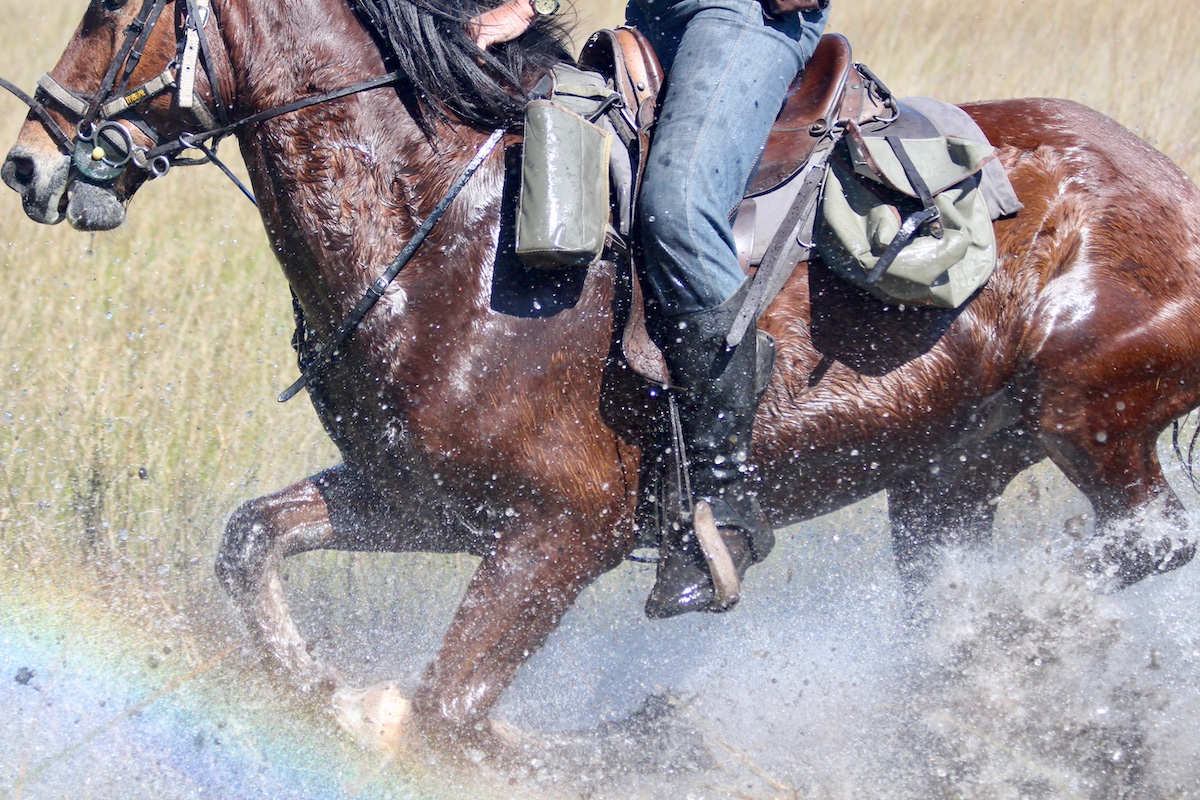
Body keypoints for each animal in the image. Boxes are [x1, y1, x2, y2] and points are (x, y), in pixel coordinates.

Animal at [7, 0, 1200, 753]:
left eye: (111, 8)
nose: (28, 158)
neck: (450, 229)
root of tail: (1169, 183)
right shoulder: (424, 499)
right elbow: (253, 542)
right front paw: (324, 692)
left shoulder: (561, 531)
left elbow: (448, 712)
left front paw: (655, 738)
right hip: (949, 474)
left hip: (1087, 413)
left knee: (1145, 537)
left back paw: (999, 627)